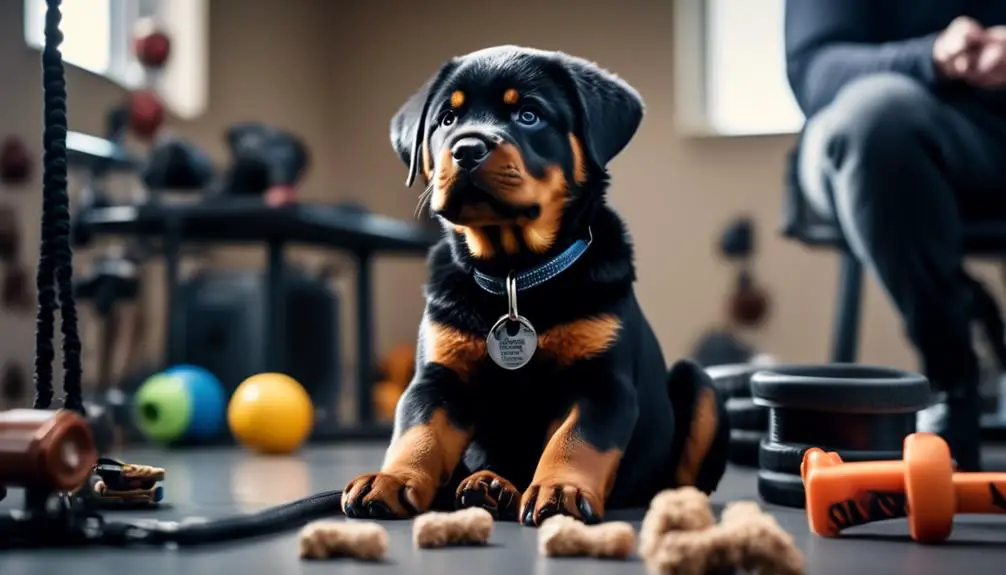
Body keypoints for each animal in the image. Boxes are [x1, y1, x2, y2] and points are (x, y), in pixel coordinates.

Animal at [342, 44, 728, 526]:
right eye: (446, 120)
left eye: (528, 115)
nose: (467, 148)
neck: (515, 272)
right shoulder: (438, 378)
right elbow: (417, 433)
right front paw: (390, 479)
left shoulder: (601, 382)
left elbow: (576, 439)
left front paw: (561, 489)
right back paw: (490, 485)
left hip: (700, 385)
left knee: (684, 469)